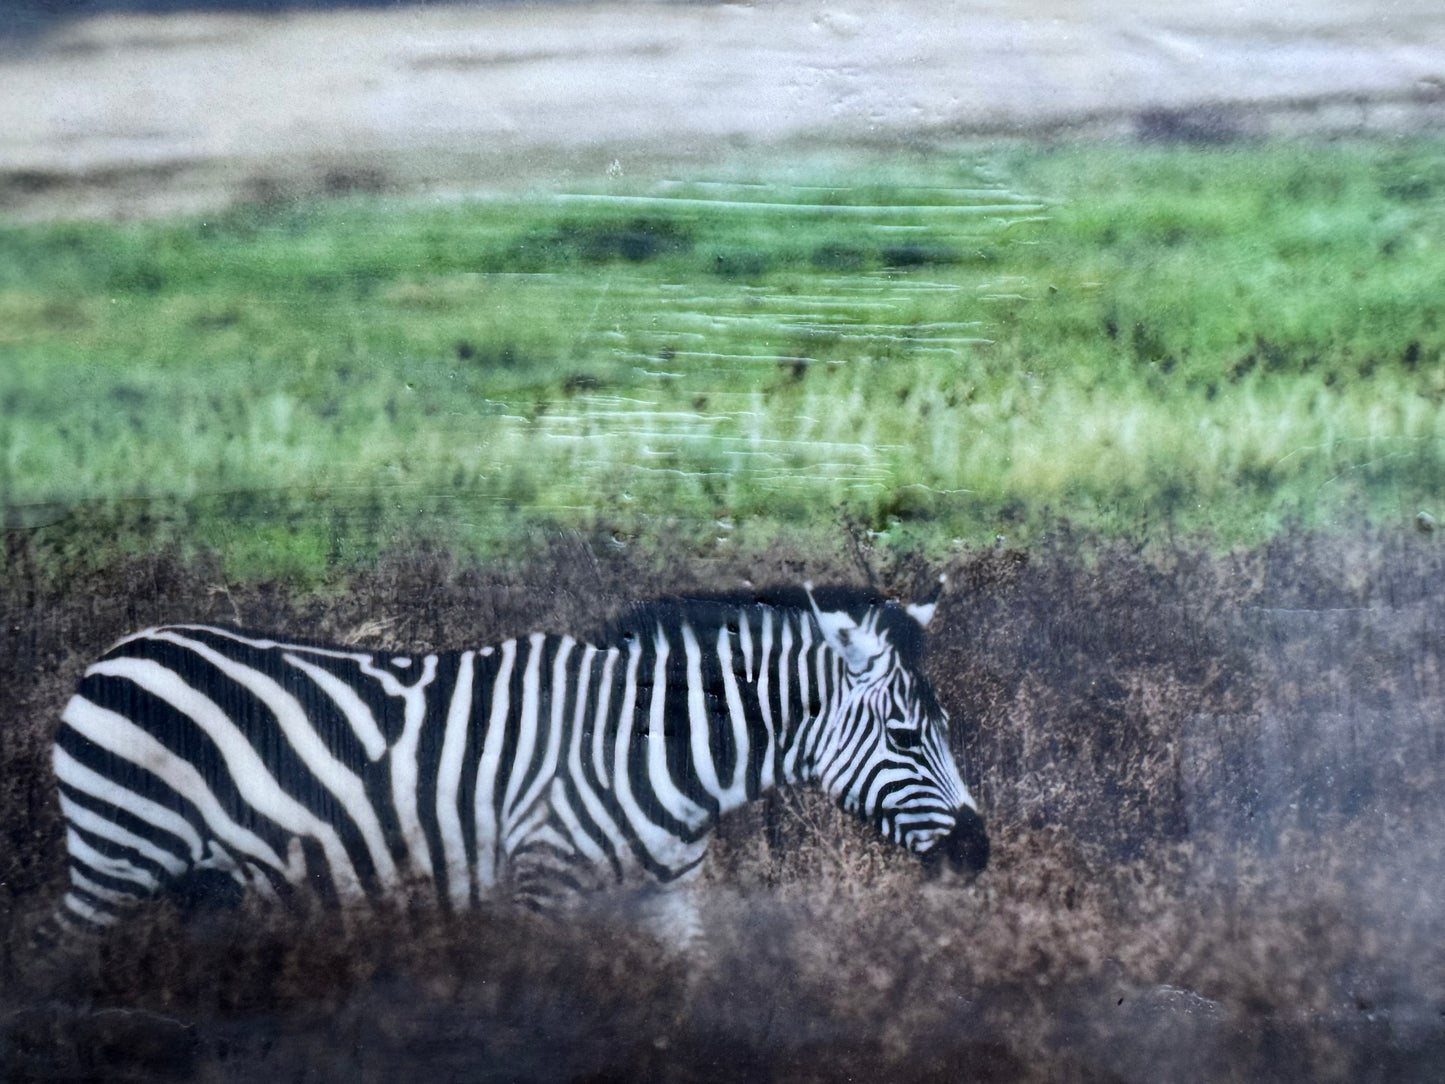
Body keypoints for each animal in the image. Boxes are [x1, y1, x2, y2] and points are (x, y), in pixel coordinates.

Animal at [39, 582, 988, 949]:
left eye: (943, 729)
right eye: (906, 736)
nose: (978, 855)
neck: (650, 751)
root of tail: (116, 652)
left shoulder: (665, 901)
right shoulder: (545, 884)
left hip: (195, 879)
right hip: (119, 854)